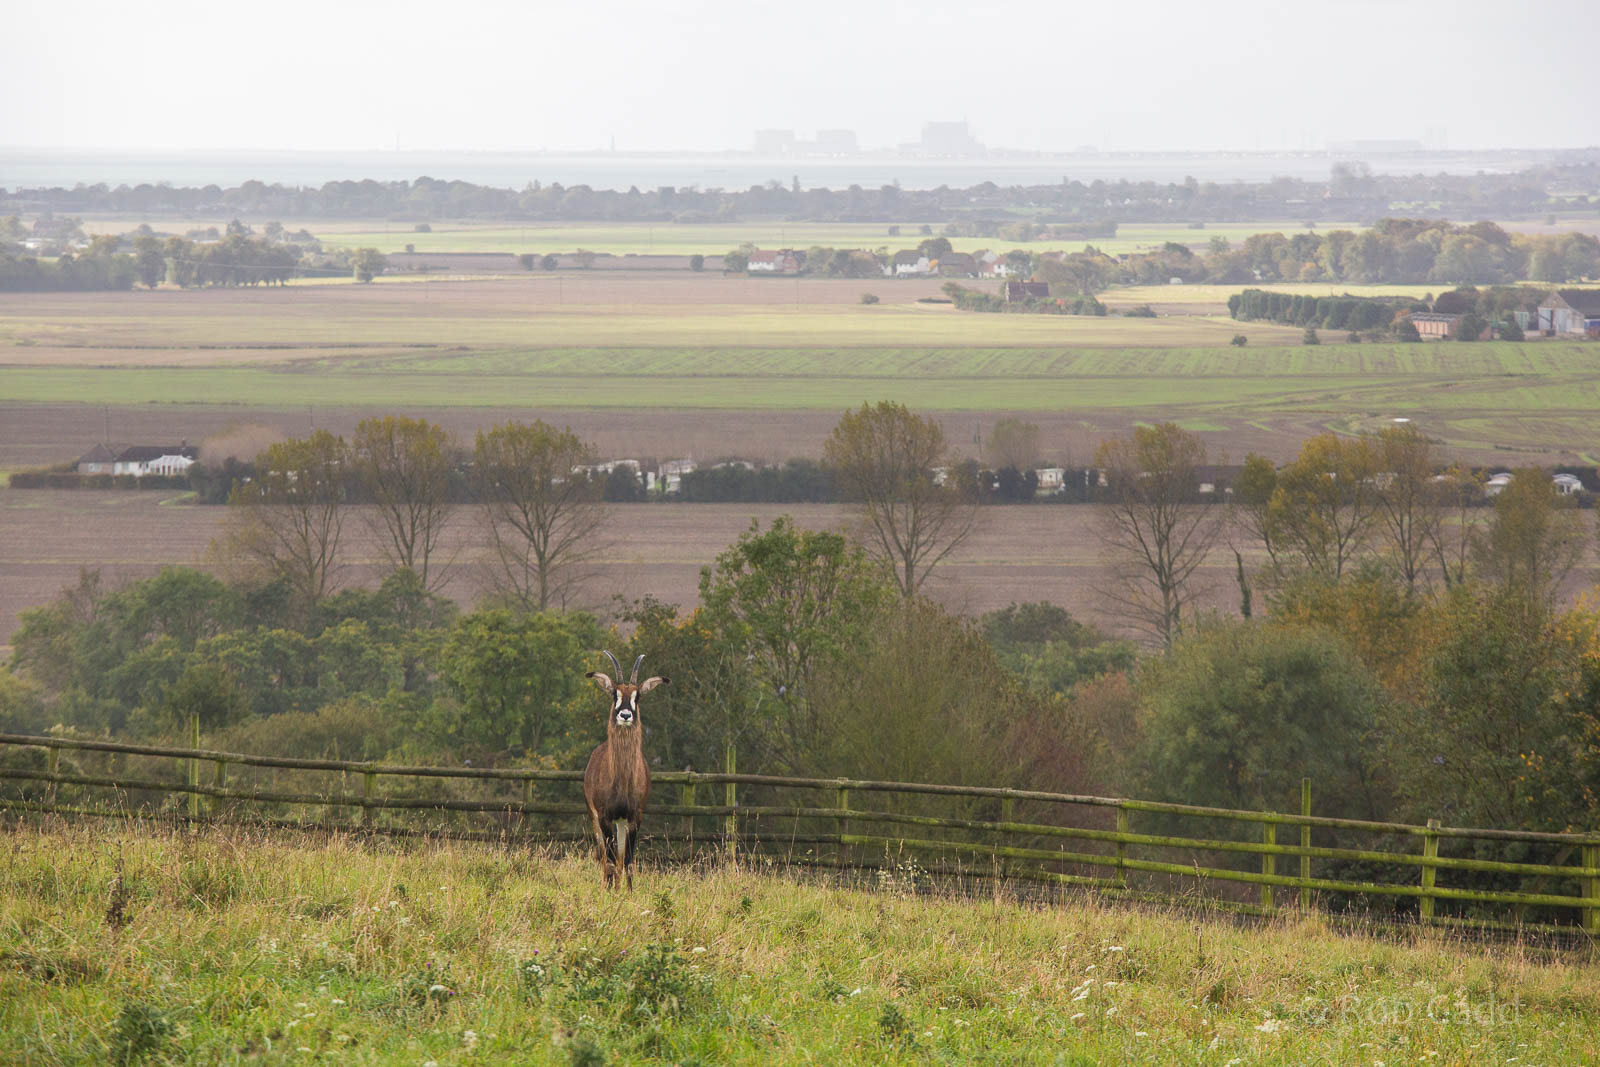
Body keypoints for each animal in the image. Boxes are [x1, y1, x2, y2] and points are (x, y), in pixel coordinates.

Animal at [582, 651, 667, 890]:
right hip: (595, 818)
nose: (626, 715)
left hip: (621, 823)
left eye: (637, 696)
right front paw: (610, 892)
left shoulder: (634, 817)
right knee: (605, 857)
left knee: (619, 858)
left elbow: (627, 861)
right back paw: (608, 885)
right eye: (615, 694)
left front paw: (628, 893)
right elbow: (610, 861)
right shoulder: (604, 817)